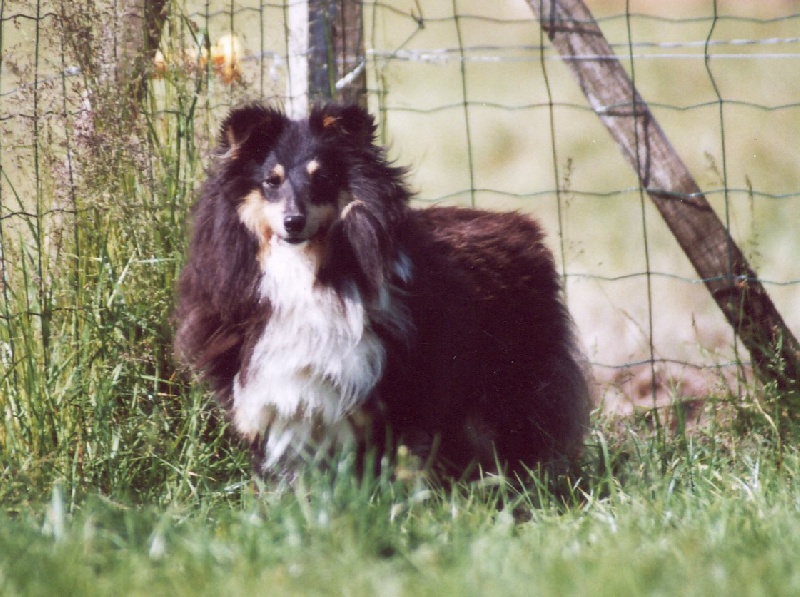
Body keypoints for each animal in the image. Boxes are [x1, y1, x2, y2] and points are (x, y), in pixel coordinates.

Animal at [173, 103, 588, 484]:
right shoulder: (271, 394)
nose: (293, 222)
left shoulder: (388, 389)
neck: (308, 273)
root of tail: (523, 224)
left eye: (322, 177)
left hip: (513, 381)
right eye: (271, 181)